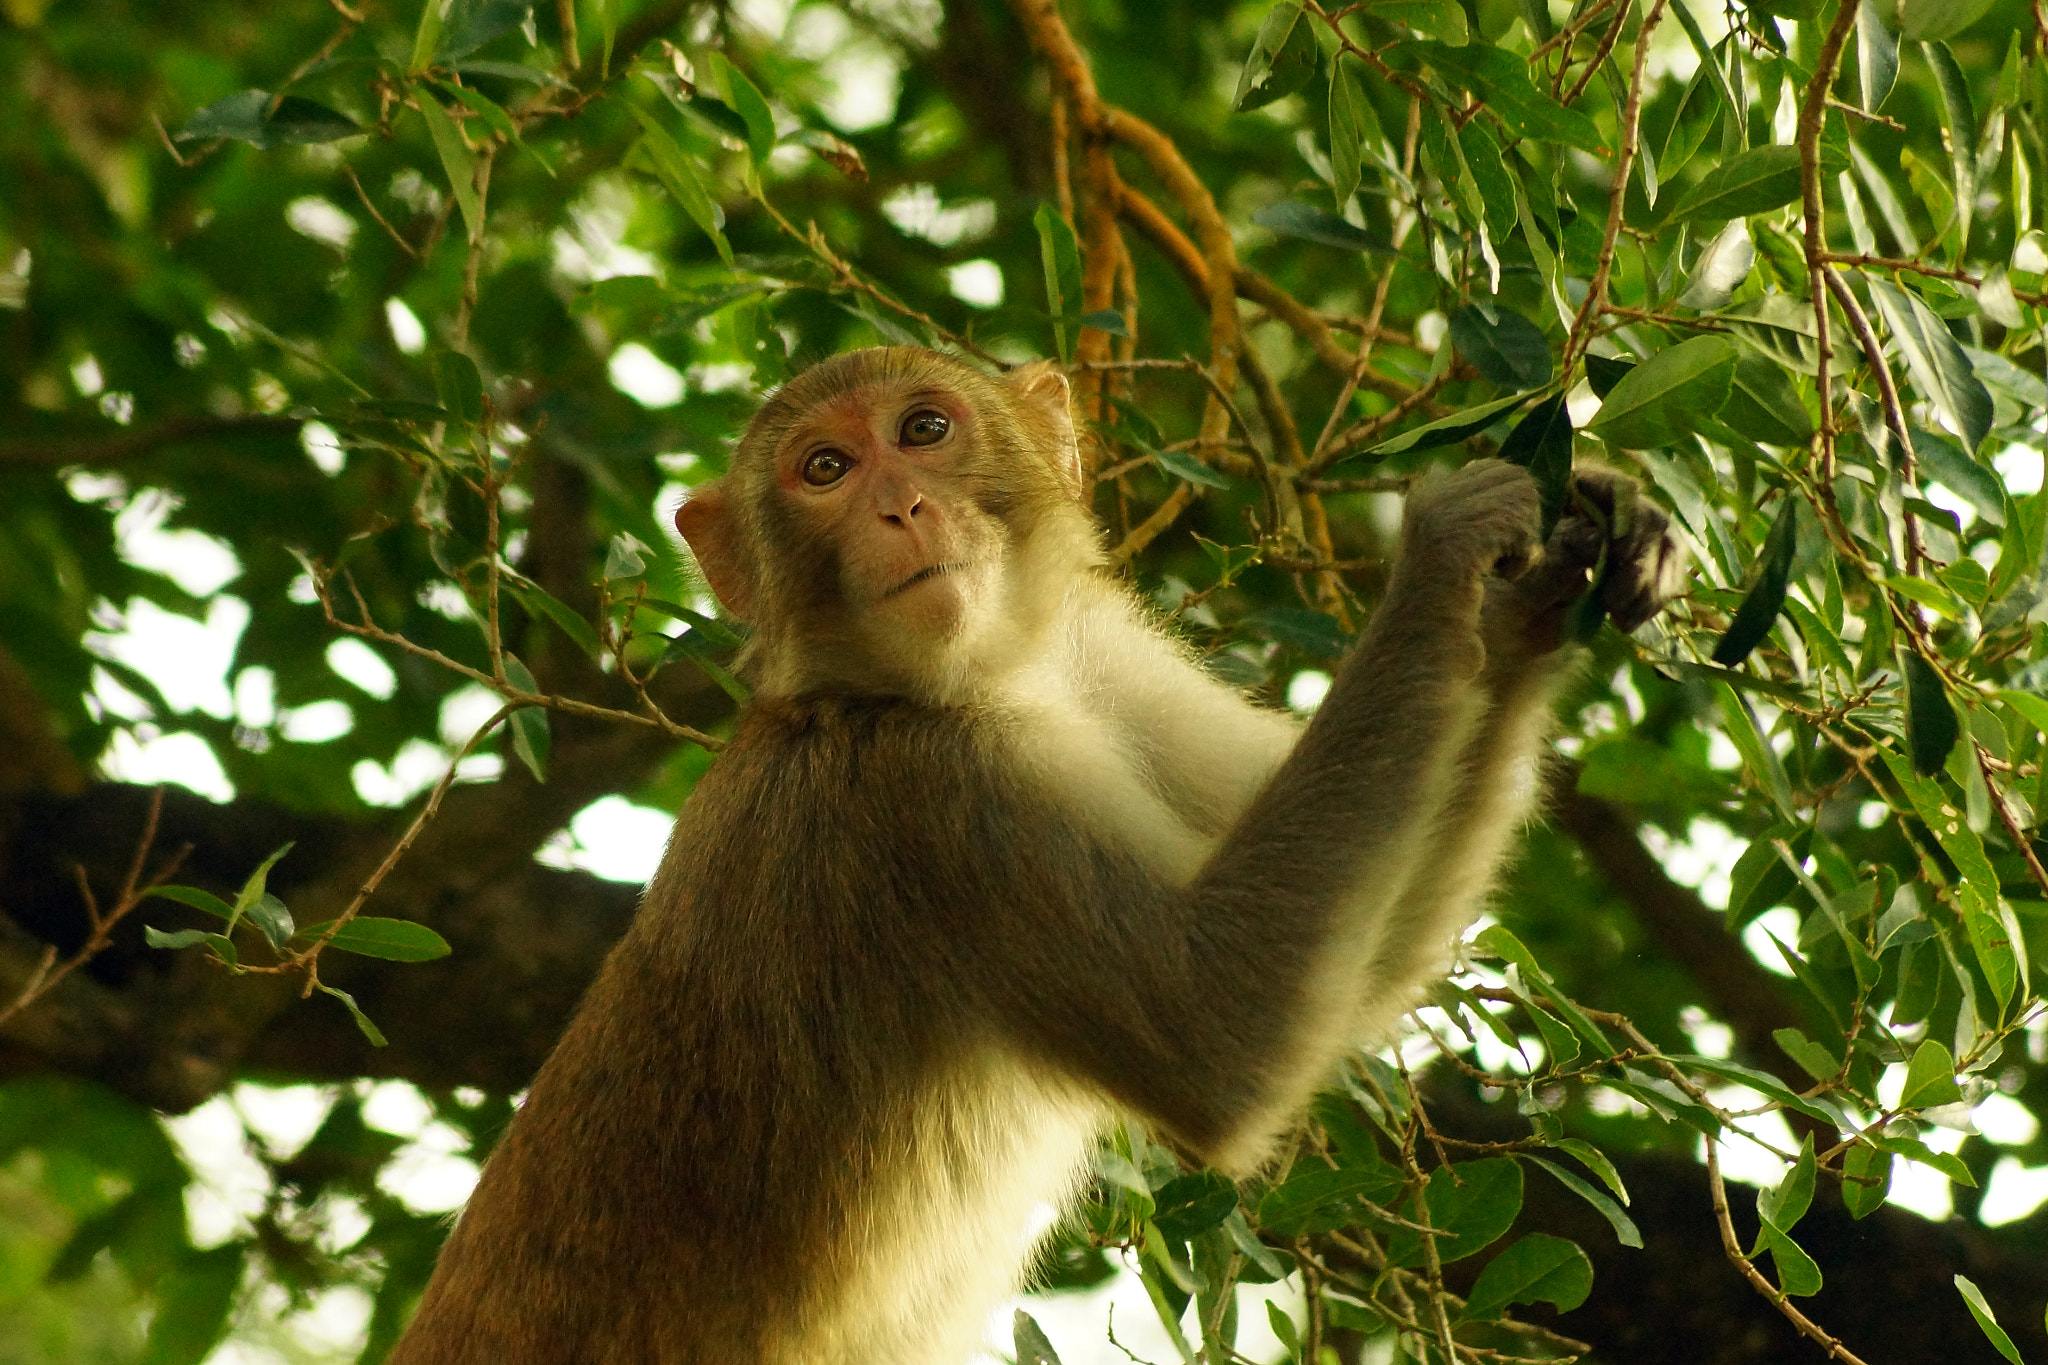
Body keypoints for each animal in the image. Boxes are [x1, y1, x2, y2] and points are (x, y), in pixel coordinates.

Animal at [391, 347, 1687, 1365]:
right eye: (824, 471)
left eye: (923, 430)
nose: (902, 510)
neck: (925, 689)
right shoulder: (928, 802)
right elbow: (1222, 1030)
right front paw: (1446, 550)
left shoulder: (1100, 659)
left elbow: (1366, 965)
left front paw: (1546, 582)